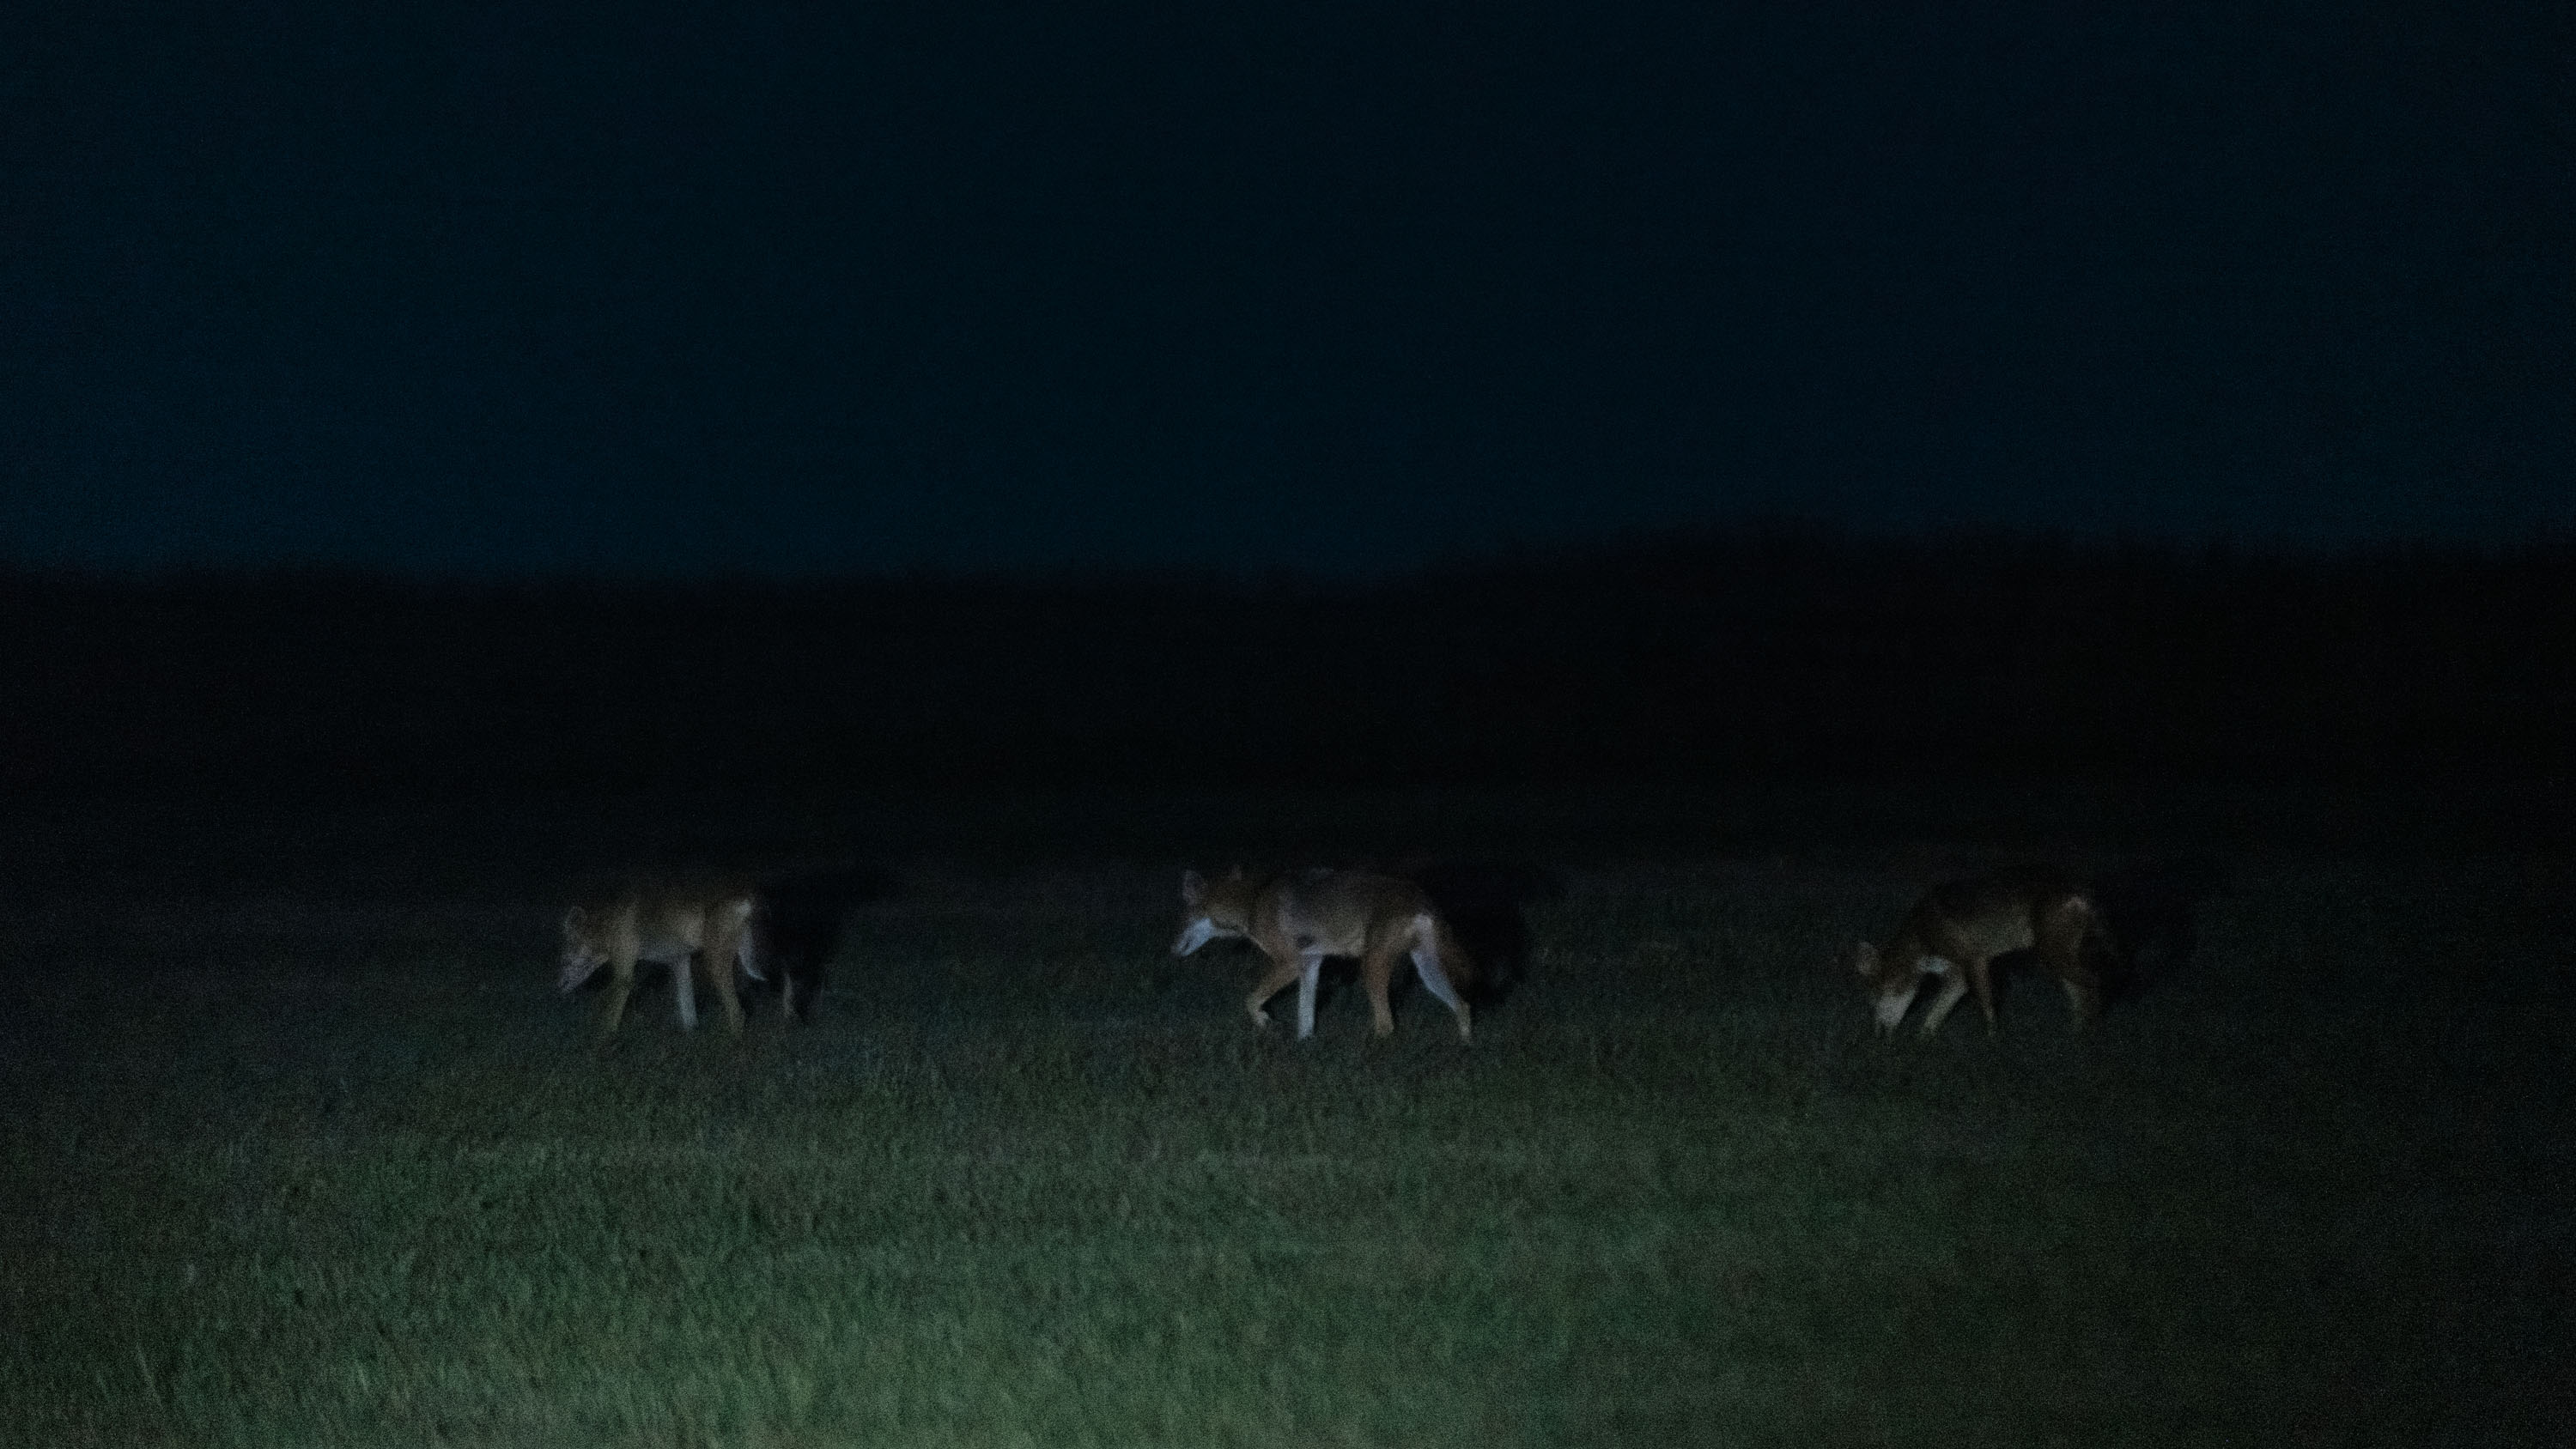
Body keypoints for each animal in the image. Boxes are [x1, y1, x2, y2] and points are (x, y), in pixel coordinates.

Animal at [559, 880, 764, 1036]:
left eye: (563, 959)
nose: (557, 985)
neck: (607, 928)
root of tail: (746, 897)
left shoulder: (625, 974)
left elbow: (610, 1015)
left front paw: (605, 1040)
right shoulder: (680, 962)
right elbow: (688, 1013)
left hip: (715, 965)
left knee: (738, 1013)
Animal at [1173, 867, 1475, 1043]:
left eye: (1182, 919)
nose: (1170, 950)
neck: (1252, 902)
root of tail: (1422, 899)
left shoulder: (1289, 964)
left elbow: (1249, 1001)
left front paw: (1264, 1022)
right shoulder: (1310, 965)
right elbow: (1305, 1015)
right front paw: (1304, 1045)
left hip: (1371, 969)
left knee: (1387, 1024)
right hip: (1427, 972)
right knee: (1463, 1006)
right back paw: (1464, 1046)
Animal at [1854, 867, 2117, 1037]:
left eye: (1876, 999)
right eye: (1870, 1004)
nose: (1878, 1036)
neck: (1921, 933)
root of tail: (2085, 889)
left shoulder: (1976, 961)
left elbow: (1987, 1007)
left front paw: (1993, 1041)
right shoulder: (1956, 978)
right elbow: (1934, 1016)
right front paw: (1921, 1042)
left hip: (2055, 959)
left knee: (2096, 984)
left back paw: (2094, 1034)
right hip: (2058, 963)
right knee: (2081, 998)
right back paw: (2076, 1037)